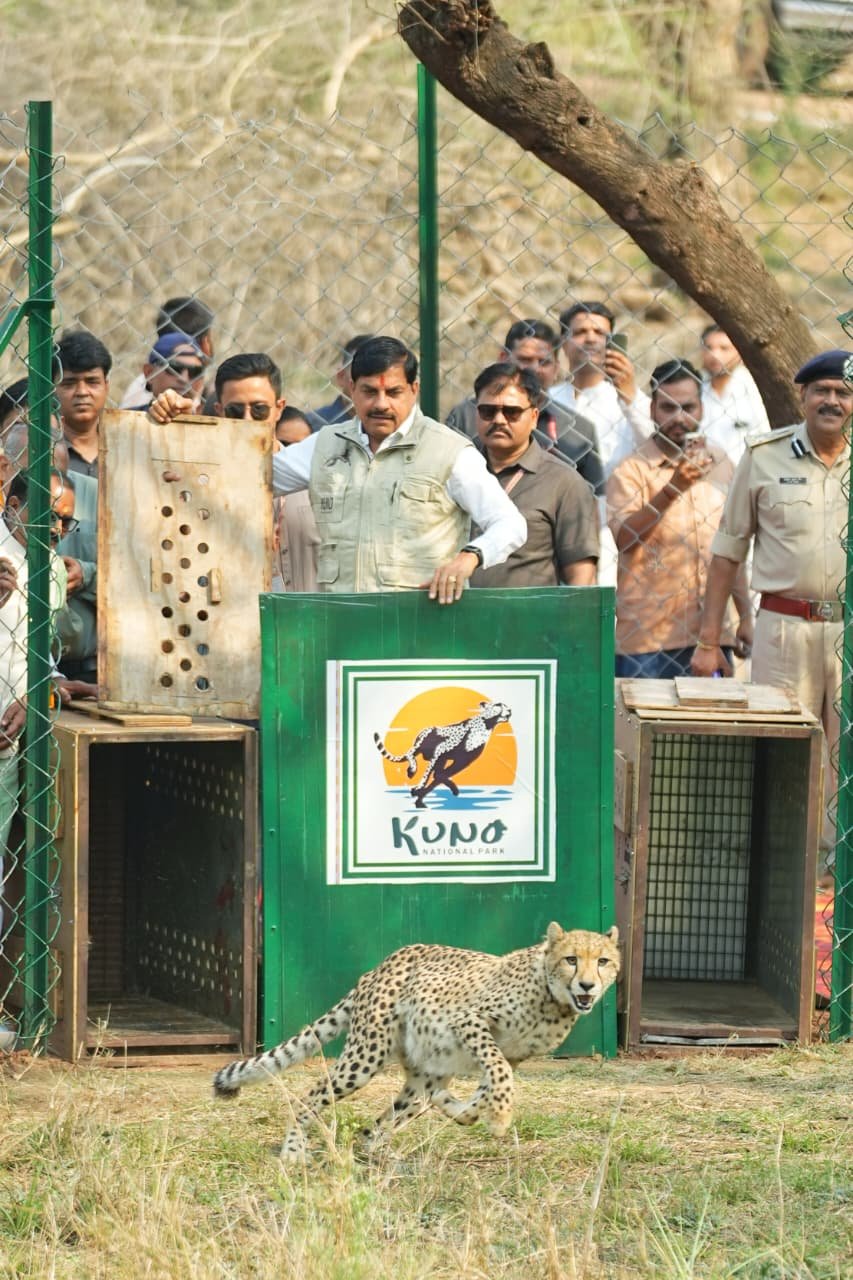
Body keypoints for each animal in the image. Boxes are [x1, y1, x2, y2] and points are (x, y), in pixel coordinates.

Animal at [212, 922, 620, 1160]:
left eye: (602, 961)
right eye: (571, 959)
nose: (587, 986)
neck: (553, 1000)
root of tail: (382, 964)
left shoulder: (512, 1054)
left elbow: (487, 1086)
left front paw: (467, 1110)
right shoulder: (469, 1021)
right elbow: (499, 1075)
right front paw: (501, 1116)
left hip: (424, 1069)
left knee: (394, 1112)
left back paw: (380, 1150)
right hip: (365, 1056)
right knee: (312, 1094)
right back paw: (294, 1149)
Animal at [373, 700, 512, 808]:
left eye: (506, 705)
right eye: (498, 705)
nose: (510, 710)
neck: (487, 725)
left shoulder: (463, 760)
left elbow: (440, 775)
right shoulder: (440, 750)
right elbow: (428, 774)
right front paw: (419, 787)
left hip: (441, 758)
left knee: (435, 770)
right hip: (425, 738)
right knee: (410, 754)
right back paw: (412, 769)